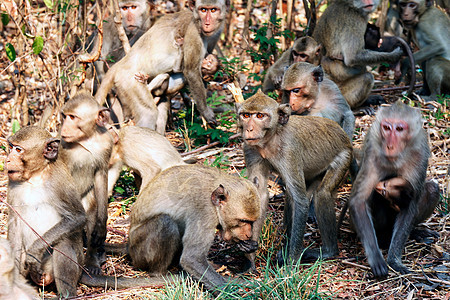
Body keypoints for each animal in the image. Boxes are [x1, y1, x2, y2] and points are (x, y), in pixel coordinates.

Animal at [5, 125, 86, 296]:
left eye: (18, 149)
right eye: (11, 147)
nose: (7, 159)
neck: (35, 176)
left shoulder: (59, 181)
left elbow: (77, 217)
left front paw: (33, 253)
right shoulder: (12, 183)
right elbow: (15, 222)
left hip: (74, 267)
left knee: (63, 244)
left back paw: (67, 295)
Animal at [59, 91, 114, 274]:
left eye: (73, 117)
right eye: (65, 116)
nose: (64, 127)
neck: (87, 139)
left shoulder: (106, 144)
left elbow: (101, 176)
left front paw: (101, 225)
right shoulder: (64, 149)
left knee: (90, 210)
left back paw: (91, 261)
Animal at [236, 91, 352, 270]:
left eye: (260, 116)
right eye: (246, 115)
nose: (249, 129)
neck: (271, 139)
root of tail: (344, 135)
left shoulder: (290, 151)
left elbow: (300, 201)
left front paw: (291, 264)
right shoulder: (250, 149)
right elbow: (260, 194)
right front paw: (249, 260)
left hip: (344, 157)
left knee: (322, 194)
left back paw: (328, 252)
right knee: (292, 195)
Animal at [348, 101, 440, 276]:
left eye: (399, 129)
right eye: (386, 128)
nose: (390, 146)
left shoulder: (419, 154)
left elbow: (410, 205)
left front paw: (394, 260)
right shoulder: (373, 150)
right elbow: (358, 201)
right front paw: (376, 258)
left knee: (432, 189)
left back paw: (415, 231)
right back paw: (383, 237)